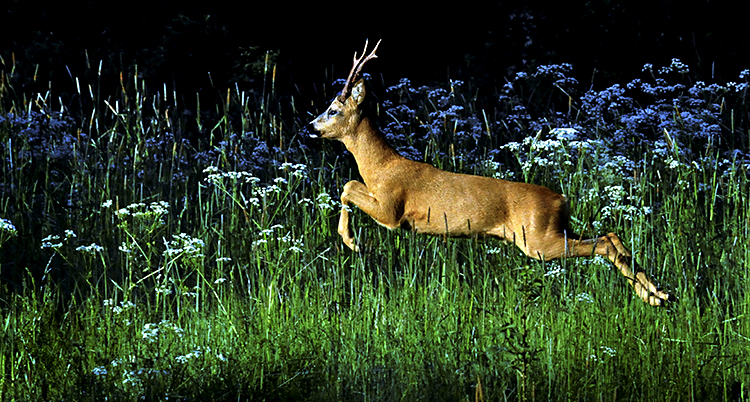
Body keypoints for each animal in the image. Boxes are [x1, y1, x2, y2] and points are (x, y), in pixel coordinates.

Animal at [308, 39, 672, 306]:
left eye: (333, 109)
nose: (309, 127)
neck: (381, 167)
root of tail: (561, 198)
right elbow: (348, 185)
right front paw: (351, 240)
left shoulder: (391, 210)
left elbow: (348, 184)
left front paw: (351, 241)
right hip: (555, 231)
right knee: (611, 236)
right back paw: (658, 295)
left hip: (538, 240)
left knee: (605, 243)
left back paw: (653, 295)